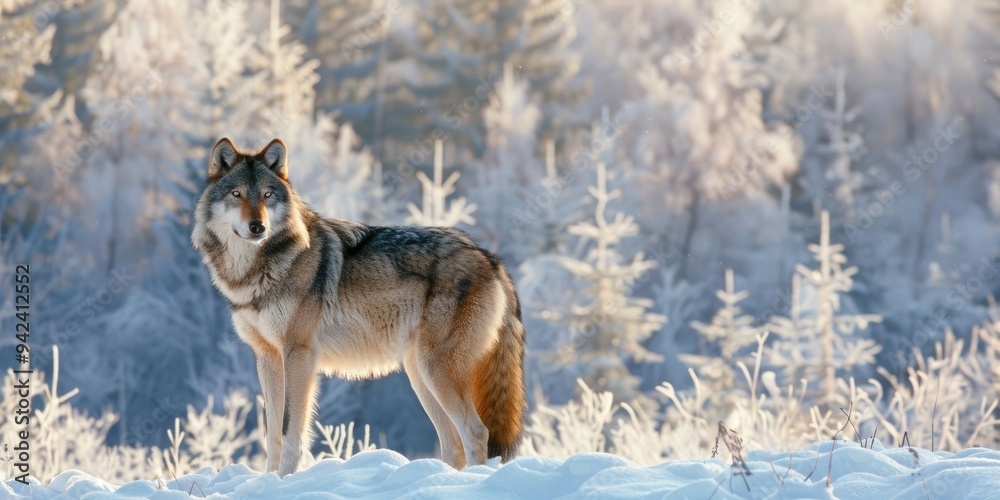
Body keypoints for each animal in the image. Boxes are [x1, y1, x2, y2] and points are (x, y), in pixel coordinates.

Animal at [192, 138, 526, 476]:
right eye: (237, 194)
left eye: (267, 195)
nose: (258, 227)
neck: (257, 270)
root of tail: (488, 257)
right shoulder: (267, 357)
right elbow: (272, 432)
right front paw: (270, 479)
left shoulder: (298, 354)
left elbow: (289, 430)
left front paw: (285, 479)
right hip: (421, 375)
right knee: (453, 443)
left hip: (436, 371)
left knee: (476, 432)